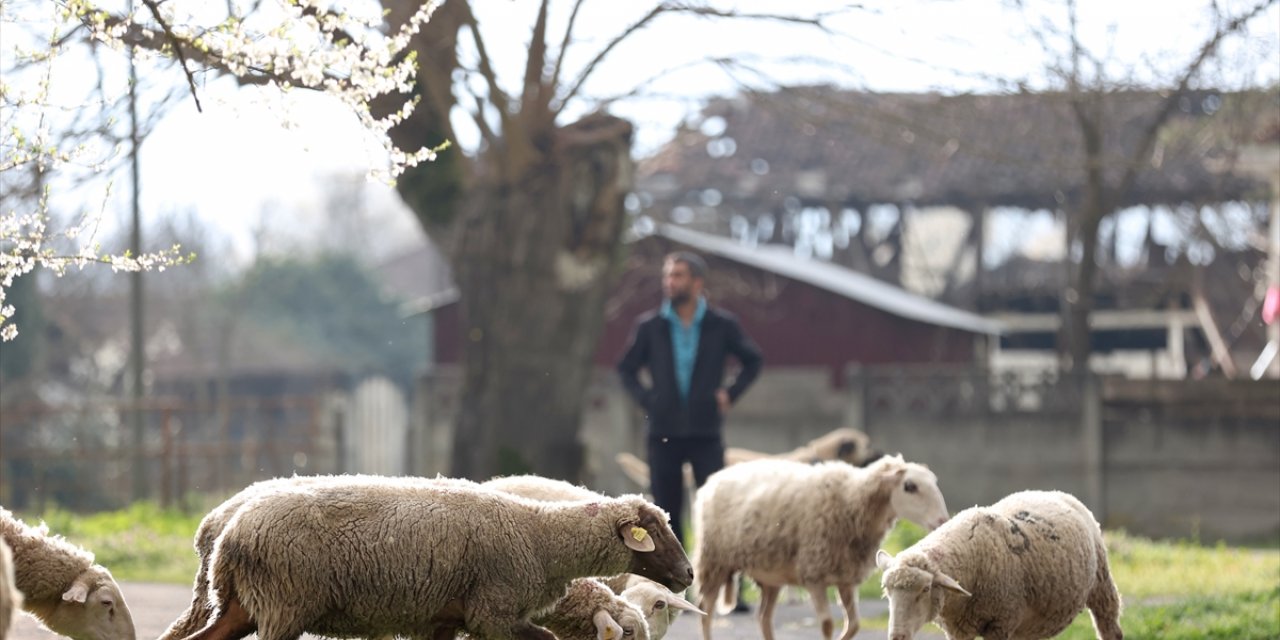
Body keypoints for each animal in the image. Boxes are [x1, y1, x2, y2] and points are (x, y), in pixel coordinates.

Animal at [183, 473, 691, 640]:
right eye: (656, 531)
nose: (687, 573)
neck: (539, 536)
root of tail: (229, 531)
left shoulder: (444, 618)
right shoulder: (493, 615)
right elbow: (545, 638)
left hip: (247, 607)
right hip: (284, 605)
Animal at [691, 453, 952, 640]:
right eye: (910, 486)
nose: (943, 520)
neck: (850, 500)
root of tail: (716, 478)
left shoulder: (846, 578)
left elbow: (854, 625)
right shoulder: (813, 574)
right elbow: (827, 625)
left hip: (771, 576)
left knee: (763, 617)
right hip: (713, 560)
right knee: (705, 610)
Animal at [880, 488, 1121, 640]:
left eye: (926, 589)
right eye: (887, 592)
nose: (898, 636)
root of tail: (1053, 492)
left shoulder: (999, 623)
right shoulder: (958, 630)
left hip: (1101, 584)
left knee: (1110, 626)